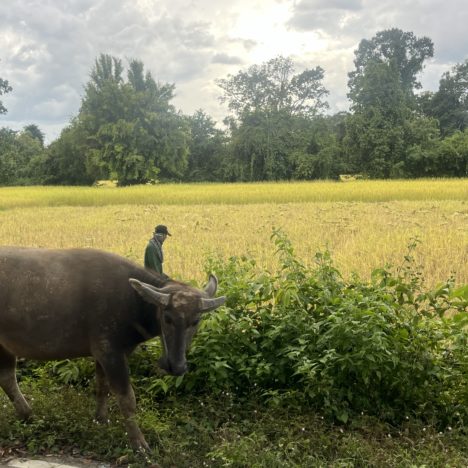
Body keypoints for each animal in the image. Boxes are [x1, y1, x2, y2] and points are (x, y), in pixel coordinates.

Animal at [0, 247, 225, 452]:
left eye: (196, 321)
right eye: (167, 318)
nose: (176, 366)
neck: (132, 301)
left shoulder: (103, 354)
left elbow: (103, 387)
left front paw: (101, 419)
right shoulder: (110, 352)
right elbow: (126, 398)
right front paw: (139, 444)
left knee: (7, 379)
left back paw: (28, 415)